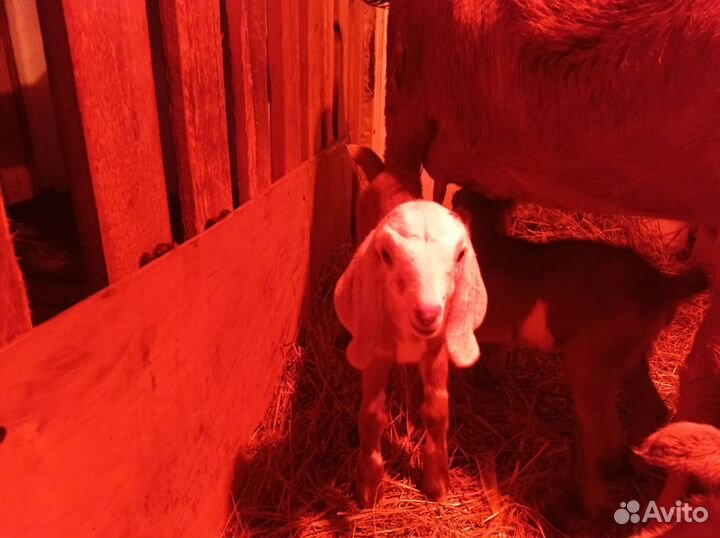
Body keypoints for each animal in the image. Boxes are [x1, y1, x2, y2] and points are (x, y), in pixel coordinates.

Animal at [334, 199, 487, 507]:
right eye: (385, 254)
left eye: (460, 254)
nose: (428, 313)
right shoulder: (377, 351)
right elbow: (371, 415)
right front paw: (369, 486)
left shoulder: (437, 349)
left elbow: (437, 412)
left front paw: (437, 482)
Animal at [452, 188, 709, 516]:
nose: (457, 194)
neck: (490, 245)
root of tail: (660, 285)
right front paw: (492, 374)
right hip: (631, 355)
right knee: (650, 409)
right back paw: (636, 465)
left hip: (590, 359)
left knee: (604, 438)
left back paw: (583, 506)